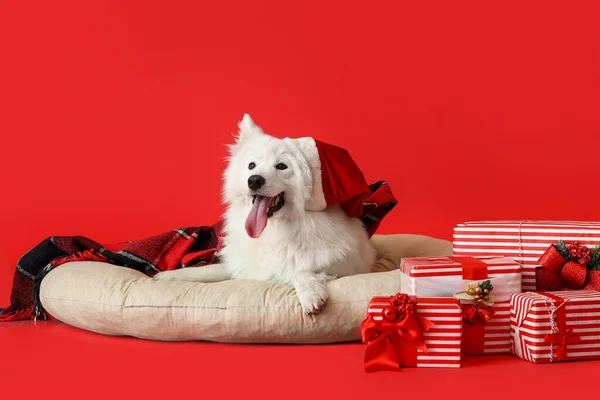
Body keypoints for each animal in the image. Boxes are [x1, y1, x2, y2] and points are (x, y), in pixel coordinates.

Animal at [155, 114, 376, 314]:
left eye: (282, 166)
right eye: (251, 165)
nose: (254, 180)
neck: (275, 230)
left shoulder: (347, 268)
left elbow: (301, 270)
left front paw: (310, 293)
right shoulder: (241, 265)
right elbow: (210, 270)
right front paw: (169, 276)